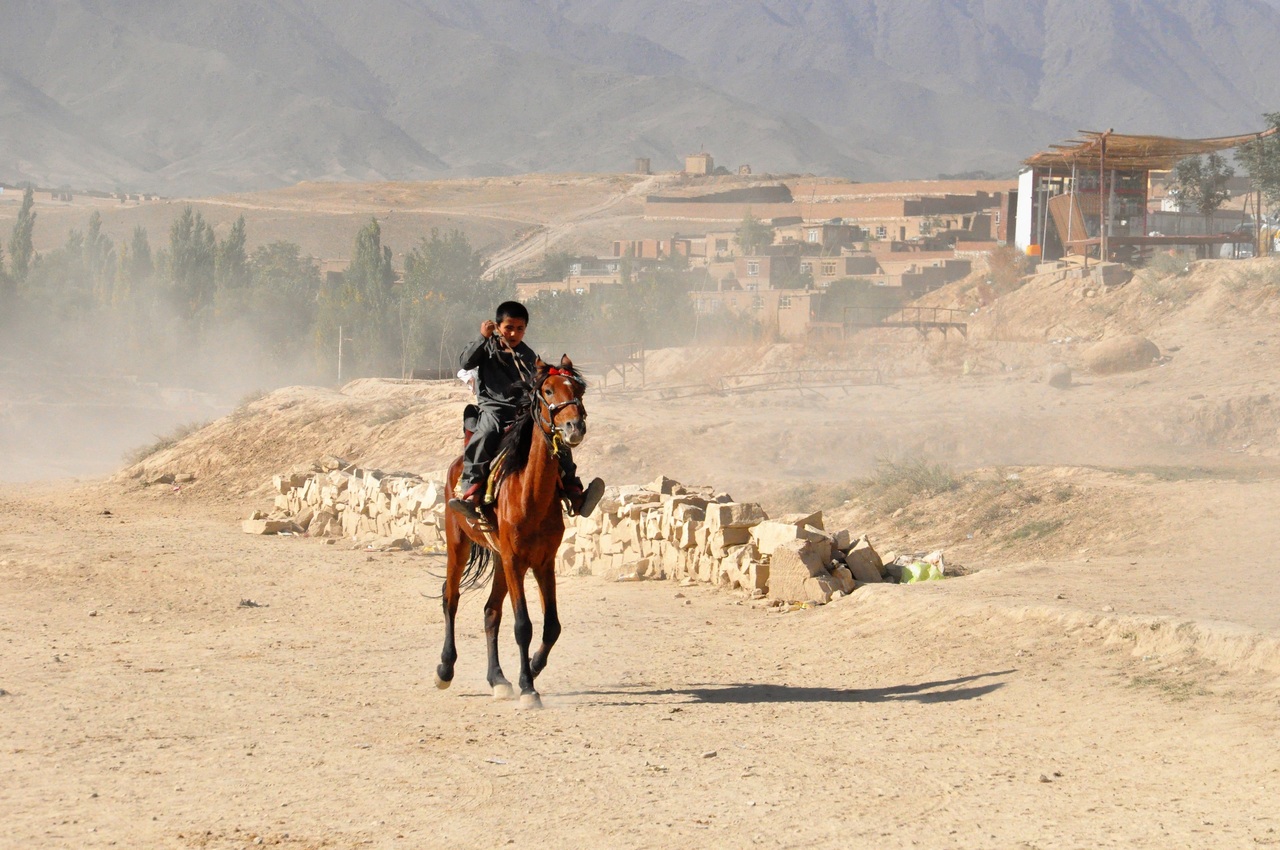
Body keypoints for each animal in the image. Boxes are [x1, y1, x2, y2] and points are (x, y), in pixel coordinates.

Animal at [432, 353, 586, 711]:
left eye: (577, 389)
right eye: (547, 390)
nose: (574, 427)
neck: (529, 492)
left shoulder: (543, 562)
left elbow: (551, 626)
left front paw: (531, 667)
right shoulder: (516, 561)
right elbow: (523, 625)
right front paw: (528, 688)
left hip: (500, 559)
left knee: (491, 612)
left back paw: (498, 679)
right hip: (459, 545)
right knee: (451, 597)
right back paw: (445, 669)